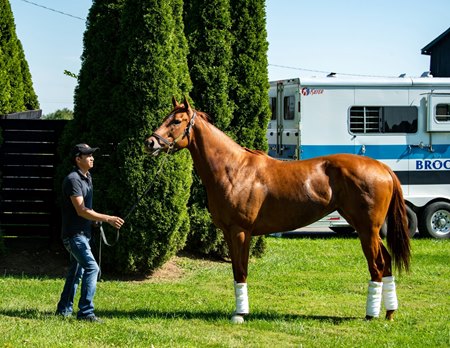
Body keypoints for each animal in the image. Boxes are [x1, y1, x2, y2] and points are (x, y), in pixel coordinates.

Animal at [145, 96, 412, 322]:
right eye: (167, 117)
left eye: (176, 121)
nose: (150, 142)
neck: (233, 169)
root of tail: (382, 168)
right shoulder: (229, 233)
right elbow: (235, 270)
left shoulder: (241, 231)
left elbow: (241, 271)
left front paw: (240, 315)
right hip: (369, 230)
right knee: (387, 262)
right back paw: (389, 313)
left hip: (367, 230)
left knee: (377, 265)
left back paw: (371, 315)